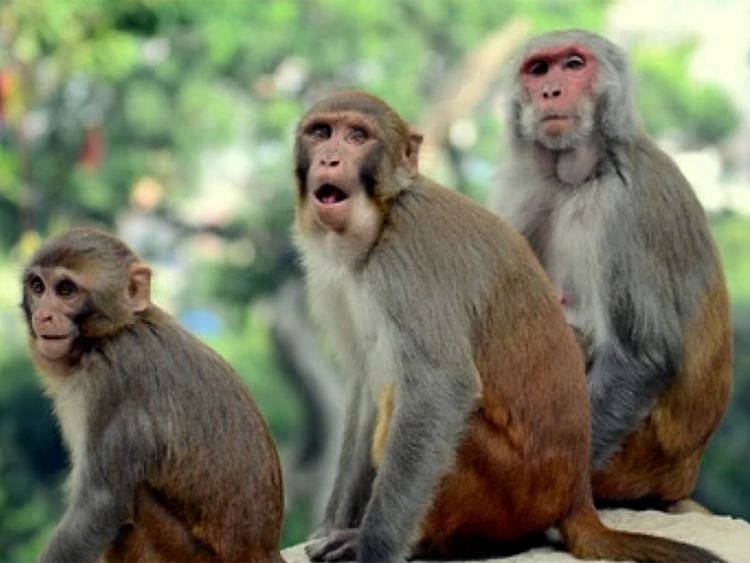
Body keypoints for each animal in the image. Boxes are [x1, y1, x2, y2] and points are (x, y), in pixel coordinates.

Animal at [22, 228, 284, 563]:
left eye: (66, 290)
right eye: (38, 287)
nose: (43, 315)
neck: (113, 332)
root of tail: (263, 551)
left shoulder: (115, 379)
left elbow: (98, 507)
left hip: (183, 552)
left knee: (134, 499)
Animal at [293, 90, 722, 562]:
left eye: (357, 135)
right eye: (321, 132)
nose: (330, 158)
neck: (380, 220)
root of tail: (576, 495)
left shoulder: (409, 257)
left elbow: (438, 389)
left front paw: (373, 546)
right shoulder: (334, 281)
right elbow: (368, 390)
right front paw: (335, 524)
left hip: (510, 488)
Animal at [496, 29, 733, 510]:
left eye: (573, 64)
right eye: (538, 70)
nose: (551, 91)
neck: (580, 178)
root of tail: (684, 475)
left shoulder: (620, 209)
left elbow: (639, 357)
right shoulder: (526, 192)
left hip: (635, 460)